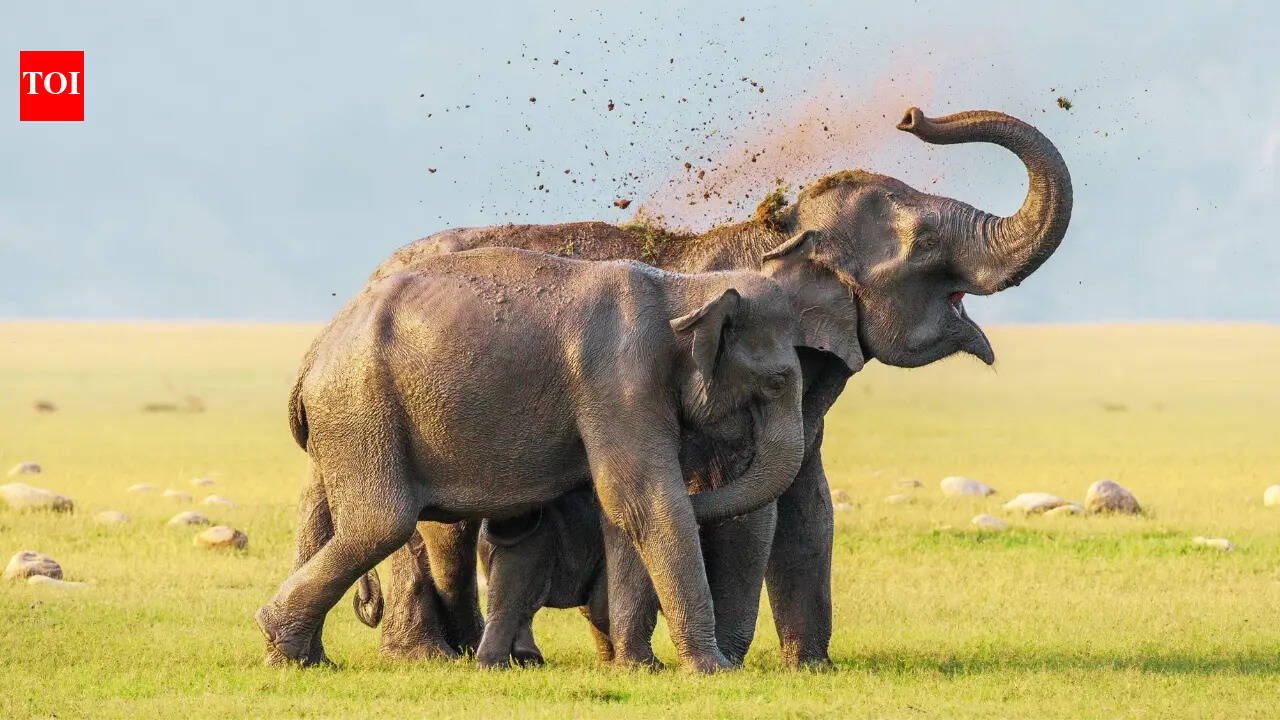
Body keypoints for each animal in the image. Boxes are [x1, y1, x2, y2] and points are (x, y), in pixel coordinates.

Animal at [258, 243, 814, 672]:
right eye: (776, 382)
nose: (724, 663)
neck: (684, 289)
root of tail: (312, 353)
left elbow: (623, 513)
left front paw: (641, 668)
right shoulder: (619, 380)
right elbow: (642, 499)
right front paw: (710, 671)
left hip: (346, 421)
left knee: (334, 516)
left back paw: (301, 658)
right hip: (360, 409)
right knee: (381, 523)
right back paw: (283, 642)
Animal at [351, 106, 1074, 667]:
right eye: (923, 243)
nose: (910, 115)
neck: (778, 231)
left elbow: (808, 504)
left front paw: (810, 667)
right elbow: (750, 505)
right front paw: (729, 660)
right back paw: (429, 657)